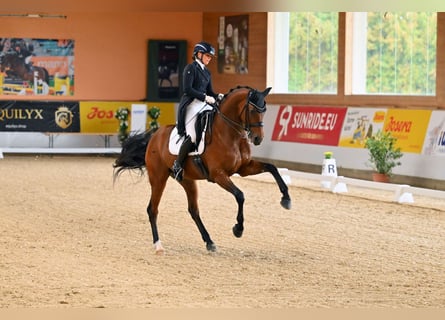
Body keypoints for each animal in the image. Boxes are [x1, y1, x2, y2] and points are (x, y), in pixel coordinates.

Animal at [112, 85, 290, 255]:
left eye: (264, 110)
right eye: (252, 110)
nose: (258, 138)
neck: (229, 134)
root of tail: (154, 136)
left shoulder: (243, 168)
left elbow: (272, 167)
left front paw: (286, 199)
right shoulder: (218, 175)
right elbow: (240, 195)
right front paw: (238, 229)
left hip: (187, 180)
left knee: (193, 210)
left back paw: (209, 242)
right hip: (158, 178)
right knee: (152, 209)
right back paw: (158, 245)